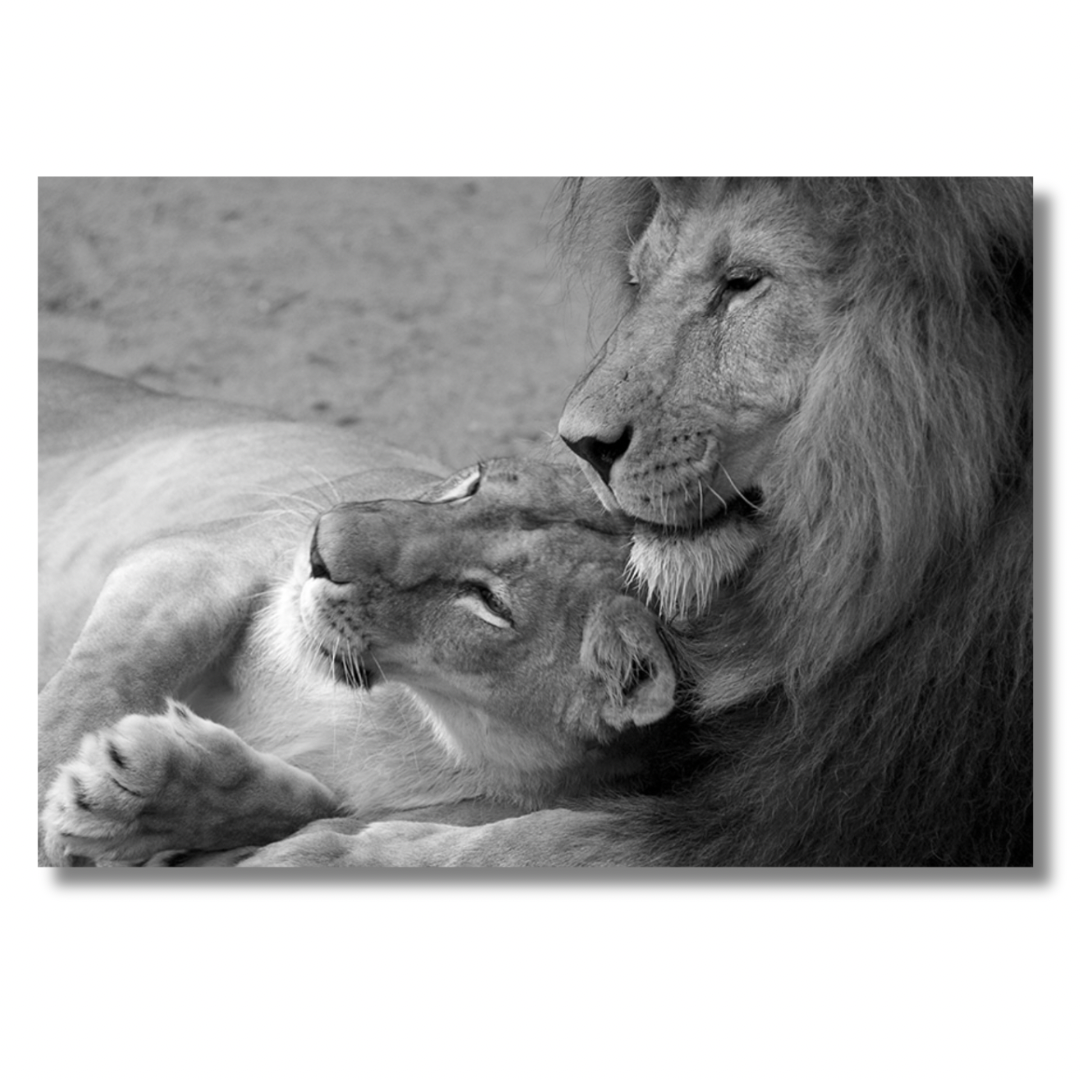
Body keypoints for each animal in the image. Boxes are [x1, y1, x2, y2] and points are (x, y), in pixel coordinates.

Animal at [38, 360, 677, 866]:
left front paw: (131, 798)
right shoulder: (199, 559)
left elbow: (308, 813)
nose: (320, 545)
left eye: (490, 602)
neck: (411, 718)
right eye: (470, 486)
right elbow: (91, 692)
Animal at [225, 177, 1032, 868]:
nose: (582, 443)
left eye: (743, 281)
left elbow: (541, 842)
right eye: (640, 279)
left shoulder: (863, 799)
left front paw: (321, 850)